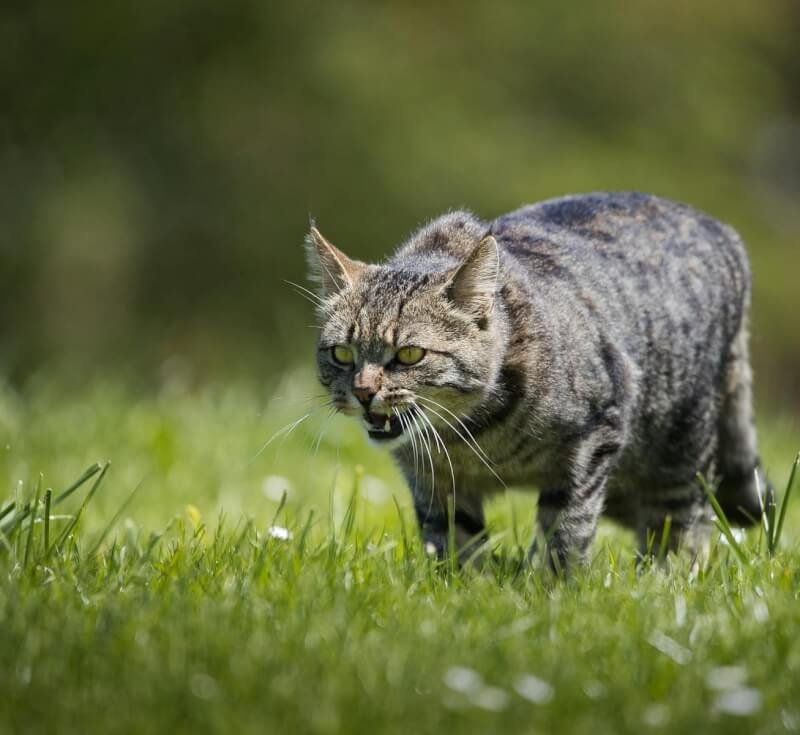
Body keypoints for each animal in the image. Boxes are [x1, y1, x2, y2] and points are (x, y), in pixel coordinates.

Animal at [304, 191, 768, 568]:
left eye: (409, 354)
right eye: (341, 354)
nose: (363, 392)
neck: (473, 437)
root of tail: (723, 231)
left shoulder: (593, 440)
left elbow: (565, 531)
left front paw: (551, 589)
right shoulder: (431, 481)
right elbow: (452, 540)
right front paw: (461, 587)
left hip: (678, 450)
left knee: (682, 526)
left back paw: (661, 577)